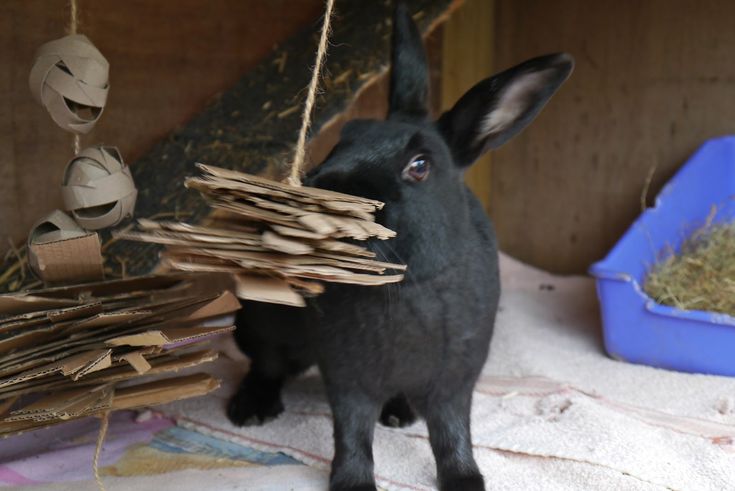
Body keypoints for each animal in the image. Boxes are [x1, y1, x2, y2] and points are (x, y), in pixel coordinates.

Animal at [230, 4, 576, 491]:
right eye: (345, 137)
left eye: (420, 165)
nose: (326, 188)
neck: (407, 285)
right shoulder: (348, 376)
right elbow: (352, 433)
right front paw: (353, 484)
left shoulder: (455, 380)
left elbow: (452, 433)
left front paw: (465, 481)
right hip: (262, 318)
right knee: (266, 362)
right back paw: (250, 411)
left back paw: (399, 414)